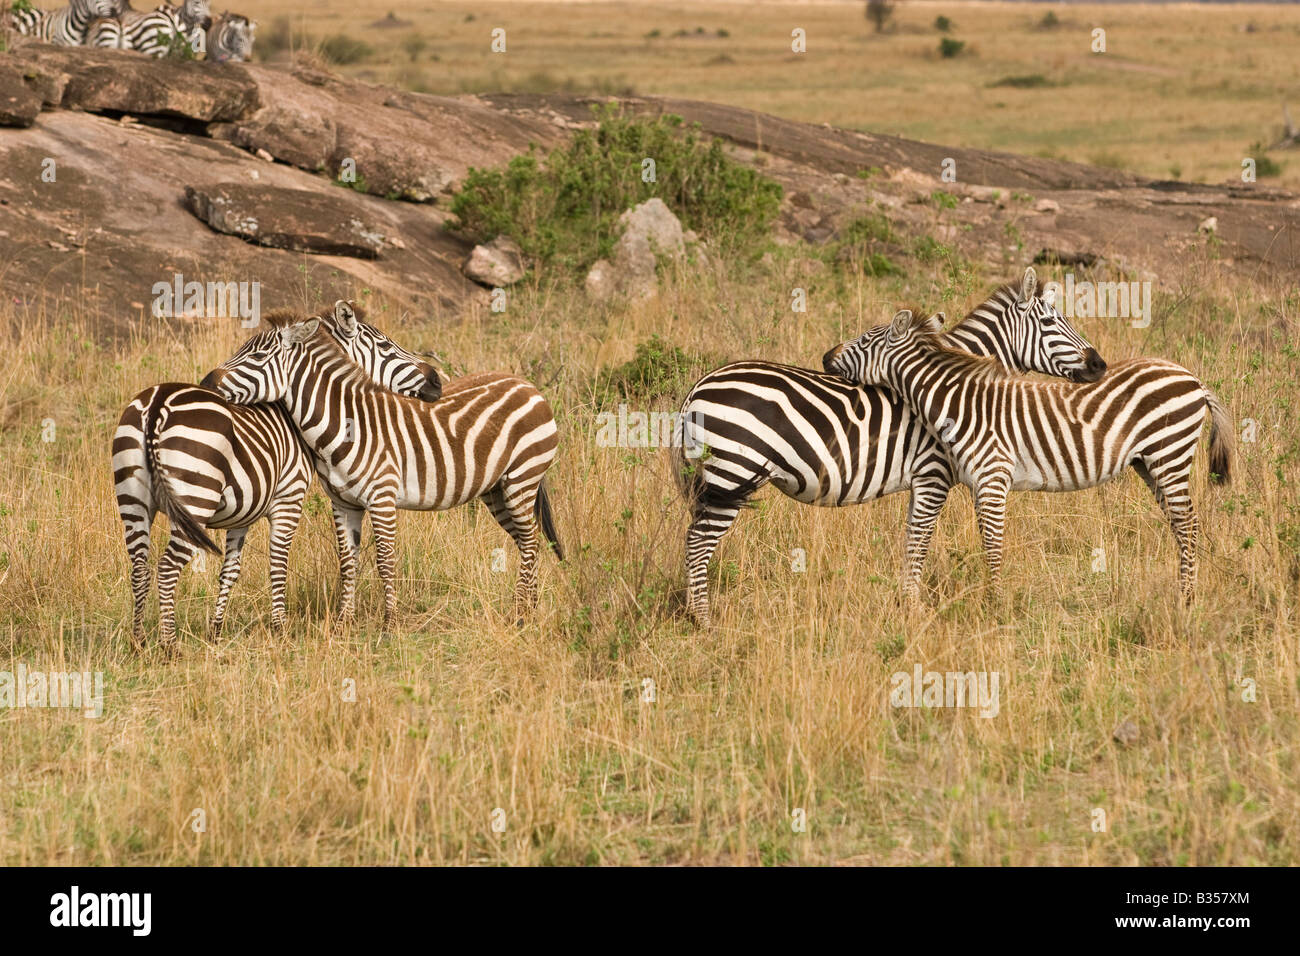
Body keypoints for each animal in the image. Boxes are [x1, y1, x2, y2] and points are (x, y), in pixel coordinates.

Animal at [114, 301, 442, 647]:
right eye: (386, 346)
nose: (436, 381)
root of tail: (157, 404)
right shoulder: (289, 496)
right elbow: (278, 562)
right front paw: (280, 628)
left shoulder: (242, 511)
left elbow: (230, 570)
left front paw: (216, 632)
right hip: (194, 499)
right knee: (166, 569)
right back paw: (169, 645)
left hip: (133, 499)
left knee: (140, 568)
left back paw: (139, 642)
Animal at [200, 316, 564, 627]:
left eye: (258, 355)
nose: (204, 383)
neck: (346, 423)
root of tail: (527, 384)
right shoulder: (343, 502)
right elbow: (347, 561)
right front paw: (343, 623)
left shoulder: (383, 497)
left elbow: (386, 559)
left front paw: (391, 624)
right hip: (497, 489)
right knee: (527, 541)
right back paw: (529, 609)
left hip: (522, 477)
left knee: (530, 540)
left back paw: (520, 615)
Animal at [673, 267, 1106, 626]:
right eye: (1051, 322)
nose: (1100, 365)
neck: (955, 390)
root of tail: (698, 387)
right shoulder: (933, 474)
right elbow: (918, 542)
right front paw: (914, 609)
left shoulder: (926, 480)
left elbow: (912, 540)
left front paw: (905, 604)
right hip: (732, 474)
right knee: (697, 544)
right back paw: (704, 622)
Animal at [823, 309, 1233, 600]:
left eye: (863, 339)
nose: (826, 356)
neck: (960, 404)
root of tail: (1193, 378)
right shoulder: (979, 485)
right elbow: (985, 542)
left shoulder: (993, 479)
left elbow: (993, 545)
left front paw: (994, 605)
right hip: (1150, 463)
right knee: (1180, 525)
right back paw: (1183, 592)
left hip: (1170, 455)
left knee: (1189, 525)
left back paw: (1187, 599)